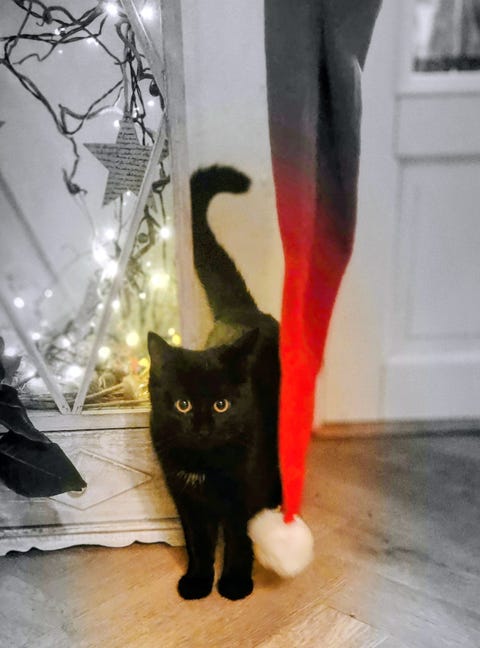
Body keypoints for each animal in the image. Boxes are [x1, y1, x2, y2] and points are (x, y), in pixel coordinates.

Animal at [148, 165, 281, 601]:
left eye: (222, 405)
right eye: (183, 405)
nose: (203, 426)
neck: (206, 466)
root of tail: (243, 311)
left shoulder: (245, 491)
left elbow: (240, 538)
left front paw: (236, 582)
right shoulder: (184, 497)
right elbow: (198, 541)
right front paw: (197, 581)